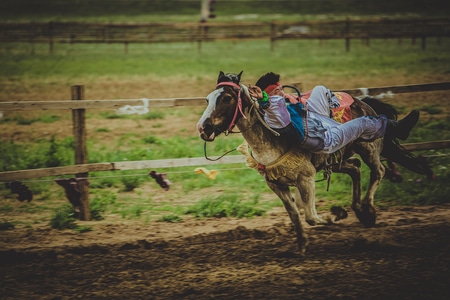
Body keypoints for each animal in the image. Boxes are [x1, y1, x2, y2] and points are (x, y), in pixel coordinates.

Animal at [197, 72, 432, 253]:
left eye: (227, 98)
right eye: (208, 99)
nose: (204, 128)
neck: (272, 137)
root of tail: (364, 104)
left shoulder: (305, 178)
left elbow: (311, 216)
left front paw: (337, 214)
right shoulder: (276, 185)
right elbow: (295, 216)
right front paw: (301, 246)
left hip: (368, 147)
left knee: (379, 170)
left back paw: (368, 209)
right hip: (337, 158)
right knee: (356, 168)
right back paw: (360, 210)